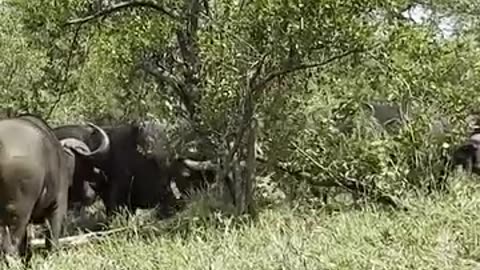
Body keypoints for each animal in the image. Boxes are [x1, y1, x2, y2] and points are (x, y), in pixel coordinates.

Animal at [0, 115, 105, 262]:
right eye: (86, 165)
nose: (93, 192)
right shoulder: (57, 207)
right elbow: (52, 241)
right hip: (17, 213)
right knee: (10, 247)